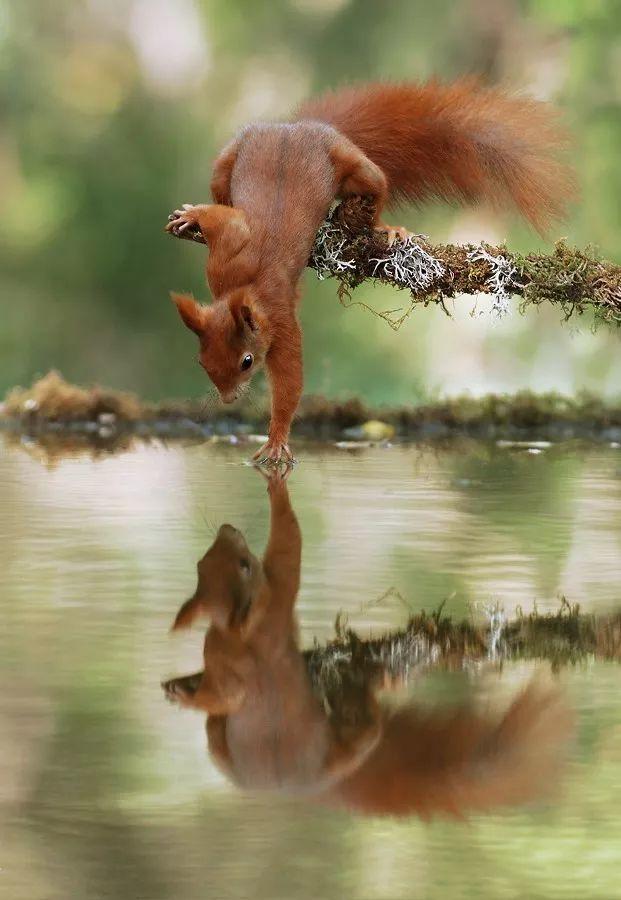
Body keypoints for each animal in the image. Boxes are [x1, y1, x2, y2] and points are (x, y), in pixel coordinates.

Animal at [161, 468, 572, 812]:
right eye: (209, 564)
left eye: (235, 563)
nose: (227, 528)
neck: (238, 633)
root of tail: (320, 789)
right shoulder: (274, 606)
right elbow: (288, 545)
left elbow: (220, 693)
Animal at [167, 79, 572, 464]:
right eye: (201, 360)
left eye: (247, 361)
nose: (228, 399)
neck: (244, 287)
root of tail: (301, 127)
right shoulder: (226, 256)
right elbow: (224, 218)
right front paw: (191, 215)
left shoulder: (279, 321)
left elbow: (290, 382)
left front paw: (277, 440)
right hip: (229, 159)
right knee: (221, 191)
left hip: (353, 166)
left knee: (375, 186)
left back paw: (385, 228)